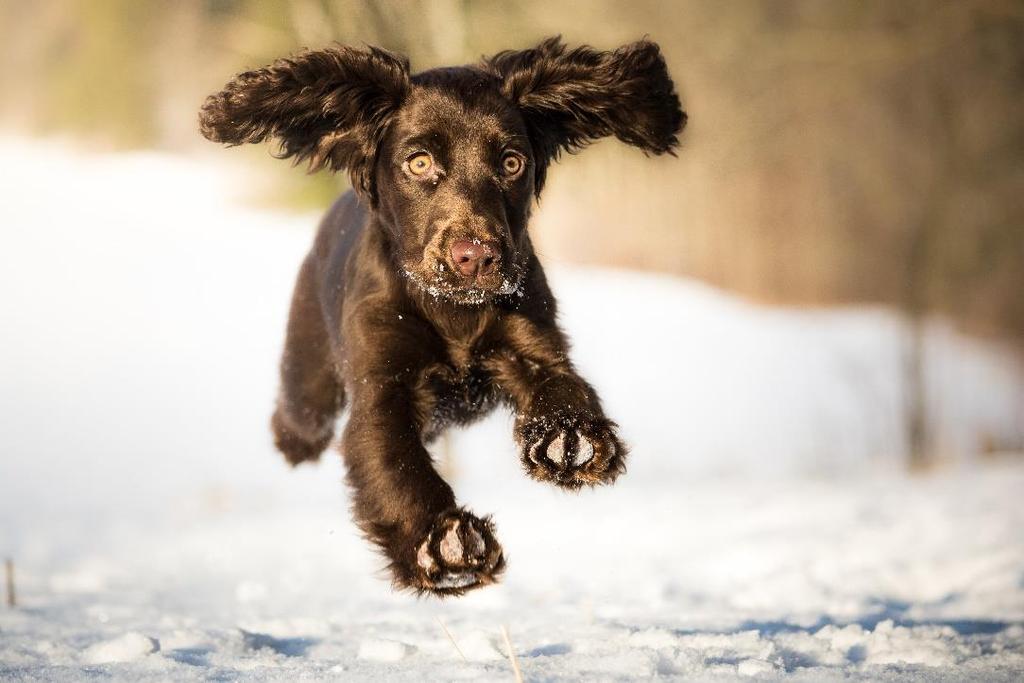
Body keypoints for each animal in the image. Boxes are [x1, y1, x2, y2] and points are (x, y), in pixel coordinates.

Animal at [198, 37, 684, 593]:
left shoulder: (530, 342)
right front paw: (446, 541)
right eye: (419, 162)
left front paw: (570, 436)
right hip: (309, 378)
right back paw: (291, 440)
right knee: (301, 416)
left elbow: (561, 383)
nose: (476, 257)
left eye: (512, 163)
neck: (453, 311)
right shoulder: (383, 385)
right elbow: (396, 464)